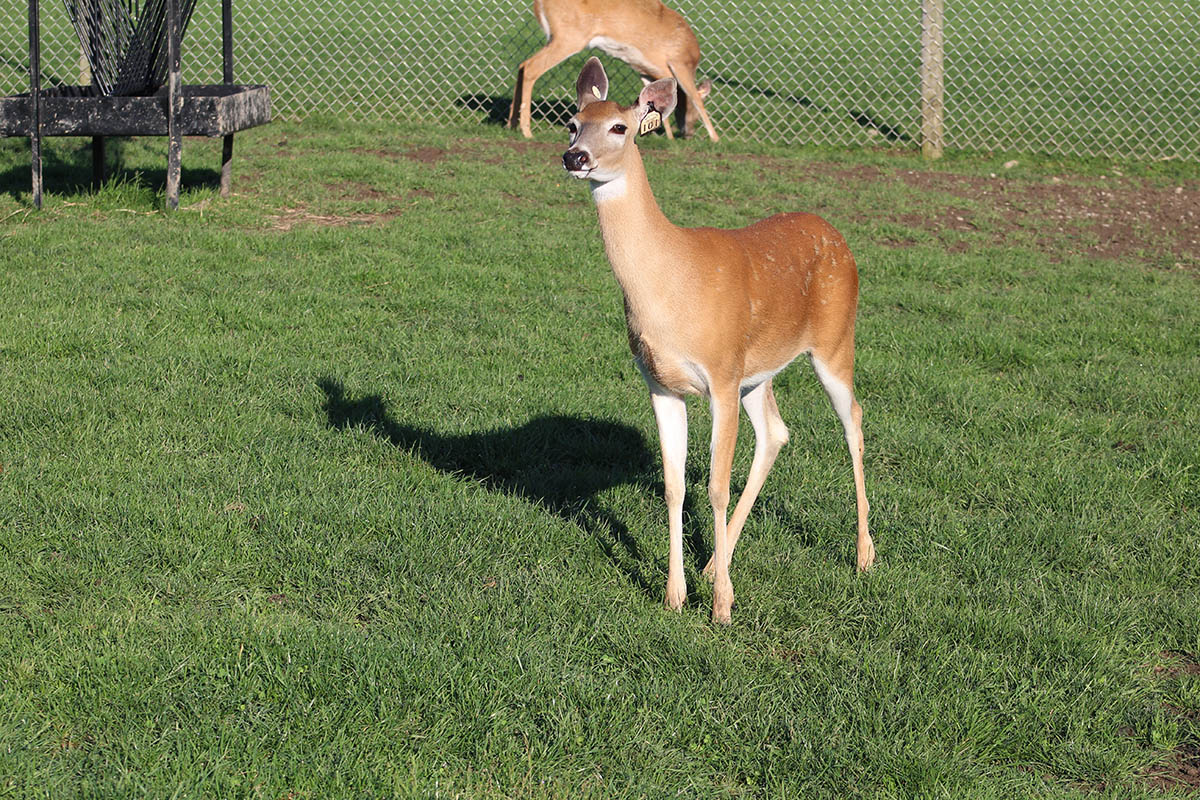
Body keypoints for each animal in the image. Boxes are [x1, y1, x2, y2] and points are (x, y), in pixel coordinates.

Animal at [508, 0, 718, 142]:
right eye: (693, 115)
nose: (688, 133)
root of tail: (539, 3)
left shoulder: (645, 68)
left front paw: (666, 136)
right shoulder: (677, 63)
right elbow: (696, 98)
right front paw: (715, 138)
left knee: (522, 65)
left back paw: (511, 123)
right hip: (569, 37)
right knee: (531, 67)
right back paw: (527, 130)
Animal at [560, 58, 873, 624]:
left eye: (618, 127)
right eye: (572, 123)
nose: (575, 156)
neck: (671, 287)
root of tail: (836, 233)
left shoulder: (721, 374)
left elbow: (716, 486)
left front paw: (723, 607)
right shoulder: (661, 384)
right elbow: (674, 486)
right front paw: (675, 594)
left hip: (835, 340)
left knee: (853, 421)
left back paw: (863, 555)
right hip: (759, 371)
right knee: (777, 432)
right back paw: (713, 564)